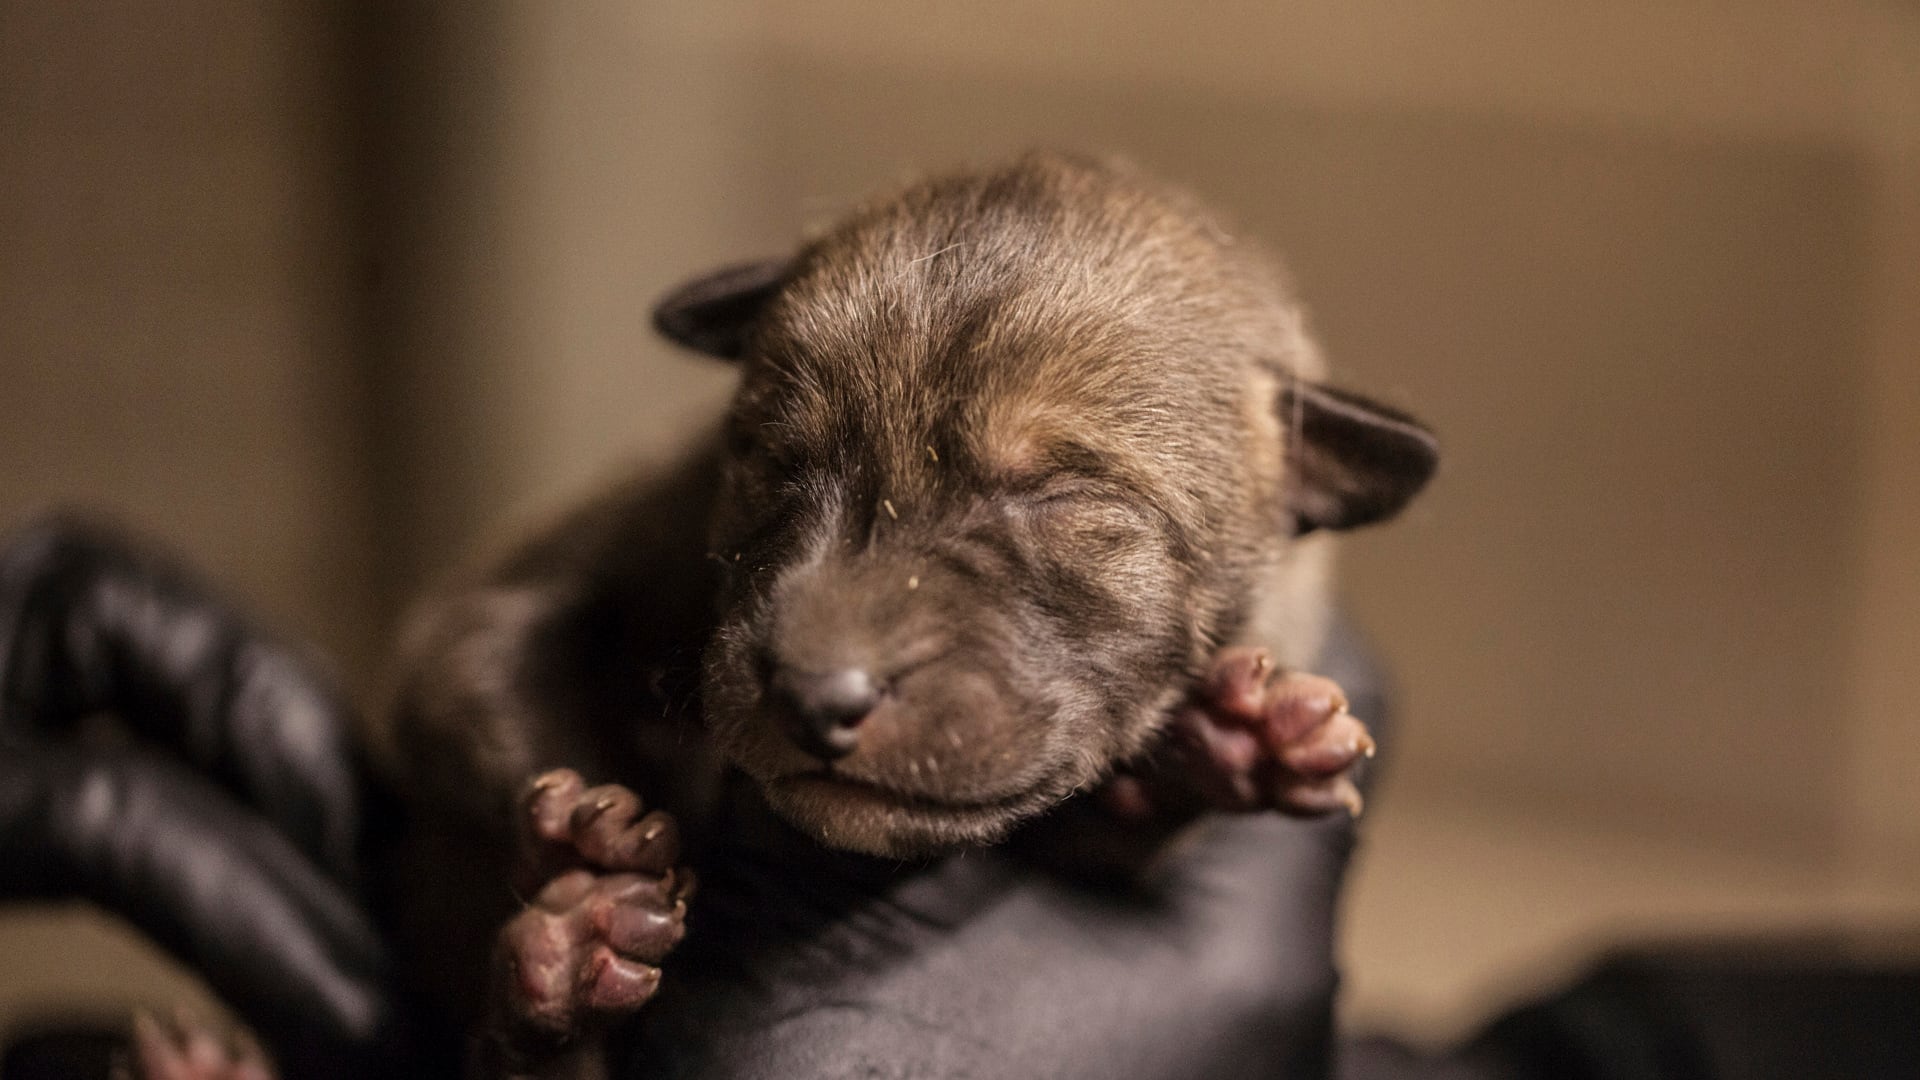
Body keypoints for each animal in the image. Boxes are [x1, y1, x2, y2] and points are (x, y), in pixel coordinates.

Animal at [366, 151, 1436, 1076]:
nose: (813, 696)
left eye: (1064, 497)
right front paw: (580, 842)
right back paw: (562, 959)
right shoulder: (521, 585)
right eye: (772, 457)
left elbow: (1110, 830)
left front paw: (1235, 744)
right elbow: (487, 678)